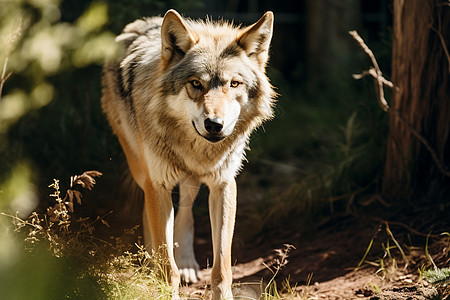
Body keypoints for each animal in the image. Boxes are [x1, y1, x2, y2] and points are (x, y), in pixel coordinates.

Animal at [101, 8, 276, 298]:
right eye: (195, 83)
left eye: (234, 84)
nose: (214, 124)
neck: (198, 149)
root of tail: (142, 23)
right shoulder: (158, 185)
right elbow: (166, 266)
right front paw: (163, 283)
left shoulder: (224, 185)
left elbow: (222, 267)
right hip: (142, 171)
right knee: (150, 217)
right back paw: (152, 264)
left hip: (190, 182)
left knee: (185, 210)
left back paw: (185, 263)